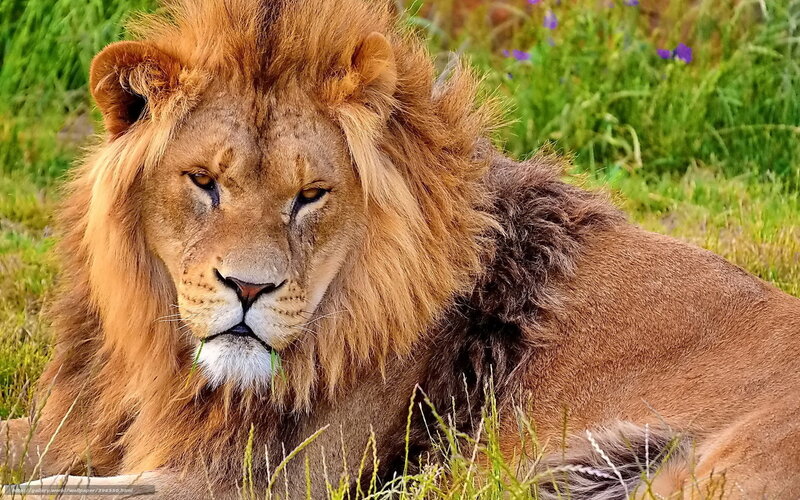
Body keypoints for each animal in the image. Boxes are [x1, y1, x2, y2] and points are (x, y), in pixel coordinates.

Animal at [3, 0, 800, 498]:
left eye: (311, 194)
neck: (165, 358)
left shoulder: (251, 483)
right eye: (204, 182)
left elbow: (43, 492)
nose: (249, 290)